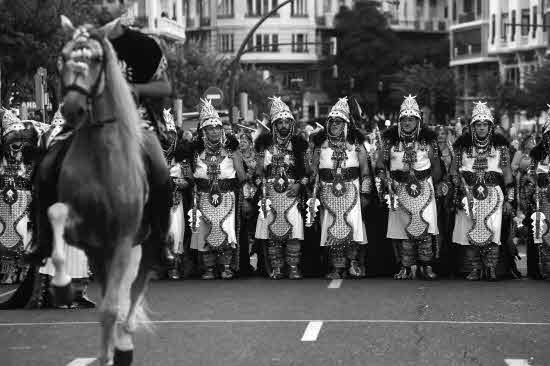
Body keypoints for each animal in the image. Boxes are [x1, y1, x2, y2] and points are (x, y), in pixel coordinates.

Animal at [40, 15, 172, 364]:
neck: (103, 160)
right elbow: (56, 212)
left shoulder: (124, 239)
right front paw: (61, 285)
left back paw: (124, 340)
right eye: (63, 57)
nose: (72, 109)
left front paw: (114, 349)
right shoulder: (84, 235)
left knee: (135, 291)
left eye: (97, 59)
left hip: (147, 244)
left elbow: (113, 307)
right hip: (100, 253)